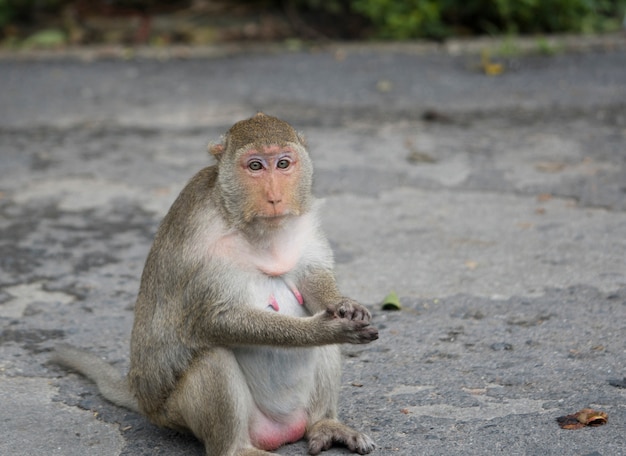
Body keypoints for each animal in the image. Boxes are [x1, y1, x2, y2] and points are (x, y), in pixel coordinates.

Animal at [52, 113, 376, 456]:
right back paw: (237, 449)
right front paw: (322, 329)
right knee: (212, 358)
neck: (244, 221)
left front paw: (343, 305)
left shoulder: (303, 223)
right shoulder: (204, 246)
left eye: (283, 163)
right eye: (255, 166)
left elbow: (312, 279)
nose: (275, 197)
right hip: (177, 413)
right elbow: (216, 320)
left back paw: (324, 424)